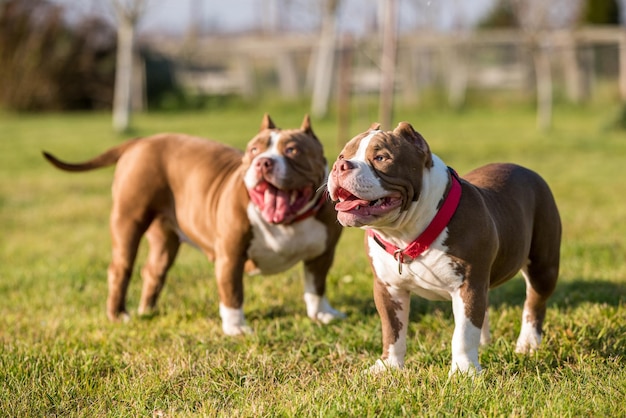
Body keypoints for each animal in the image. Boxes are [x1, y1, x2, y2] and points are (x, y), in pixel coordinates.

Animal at [43, 112, 344, 334]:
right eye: (253, 150)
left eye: (292, 150)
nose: (263, 162)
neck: (287, 222)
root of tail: (140, 142)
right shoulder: (230, 256)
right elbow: (232, 293)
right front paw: (236, 328)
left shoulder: (322, 255)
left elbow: (316, 287)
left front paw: (321, 314)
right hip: (128, 220)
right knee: (120, 269)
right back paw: (119, 315)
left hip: (165, 237)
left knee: (154, 271)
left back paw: (148, 311)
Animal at [324, 122, 560, 374]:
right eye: (342, 155)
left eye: (381, 157)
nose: (339, 166)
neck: (404, 234)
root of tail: (526, 170)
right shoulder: (388, 288)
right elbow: (392, 331)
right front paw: (388, 366)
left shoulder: (468, 286)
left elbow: (463, 333)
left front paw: (464, 371)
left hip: (543, 266)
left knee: (534, 303)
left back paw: (528, 344)